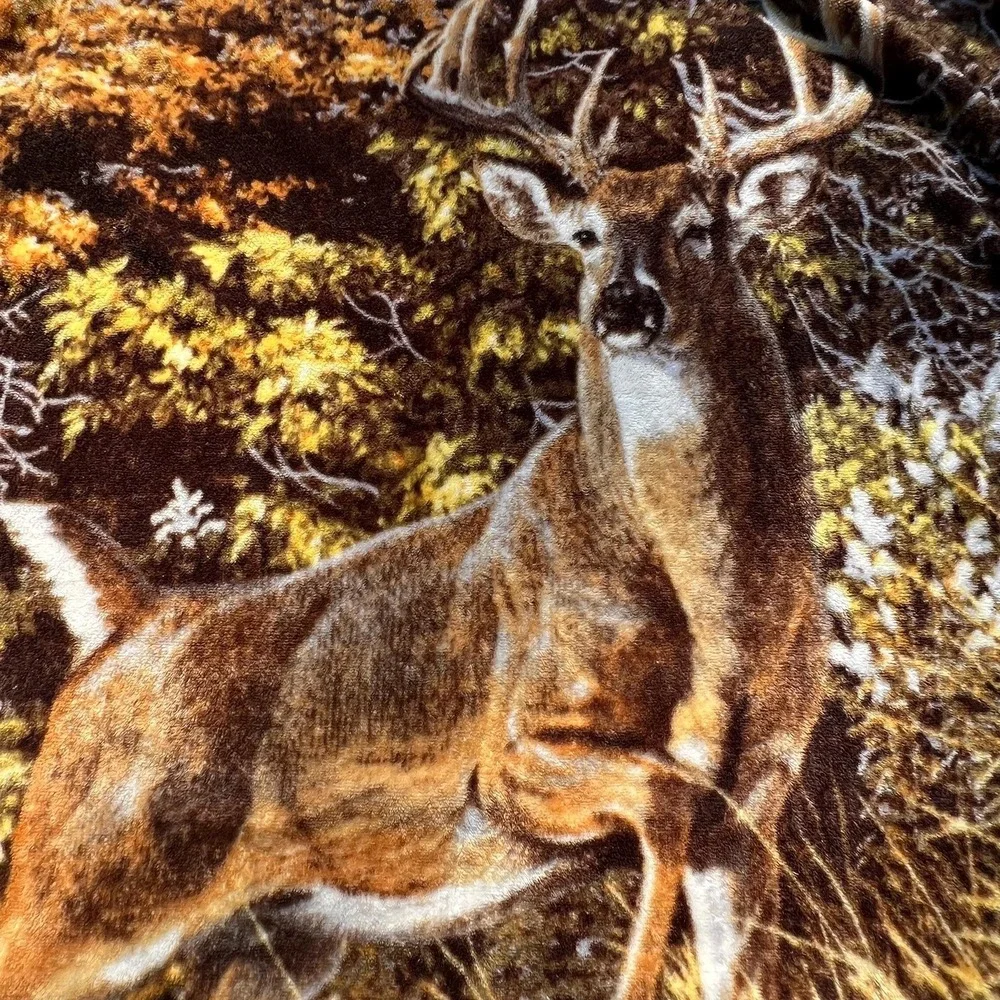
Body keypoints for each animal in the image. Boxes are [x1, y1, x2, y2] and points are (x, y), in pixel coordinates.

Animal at [0, 2, 873, 998]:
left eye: (701, 228)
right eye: (585, 235)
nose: (624, 305)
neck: (719, 608)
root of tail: (126, 618)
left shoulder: (761, 794)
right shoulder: (514, 751)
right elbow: (665, 796)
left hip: (275, 939)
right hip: (73, 891)